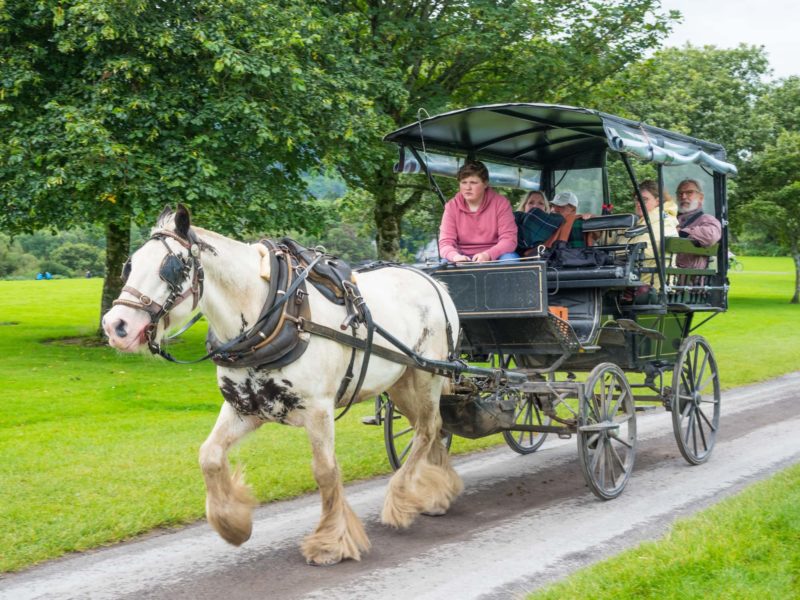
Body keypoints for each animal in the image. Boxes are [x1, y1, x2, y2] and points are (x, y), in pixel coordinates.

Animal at [101, 204, 462, 564]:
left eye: (172, 268)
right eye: (130, 265)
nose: (115, 326)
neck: (272, 311)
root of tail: (434, 282)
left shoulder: (318, 410)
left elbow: (325, 471)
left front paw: (330, 543)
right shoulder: (243, 408)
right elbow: (209, 455)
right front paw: (232, 524)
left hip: (426, 376)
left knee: (427, 430)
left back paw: (402, 498)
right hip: (401, 382)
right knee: (434, 428)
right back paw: (435, 492)